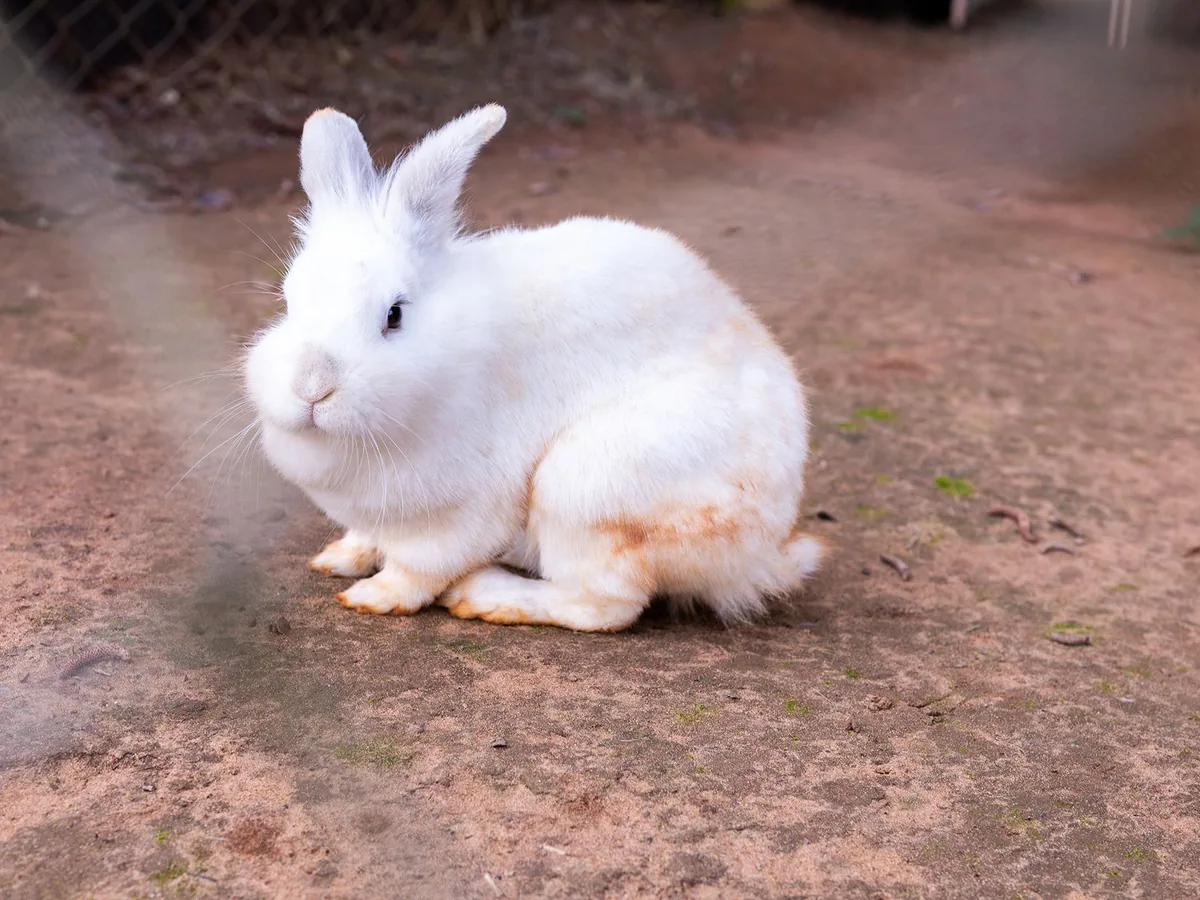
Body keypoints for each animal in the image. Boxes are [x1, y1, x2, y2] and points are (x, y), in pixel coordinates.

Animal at [243, 103, 822, 632]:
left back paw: (486, 595)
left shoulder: (459, 513)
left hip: (588, 491)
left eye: (394, 315)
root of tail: (760, 555)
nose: (312, 388)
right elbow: (368, 538)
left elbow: (420, 568)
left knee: (605, 606)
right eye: (288, 301)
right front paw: (339, 558)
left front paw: (374, 596)